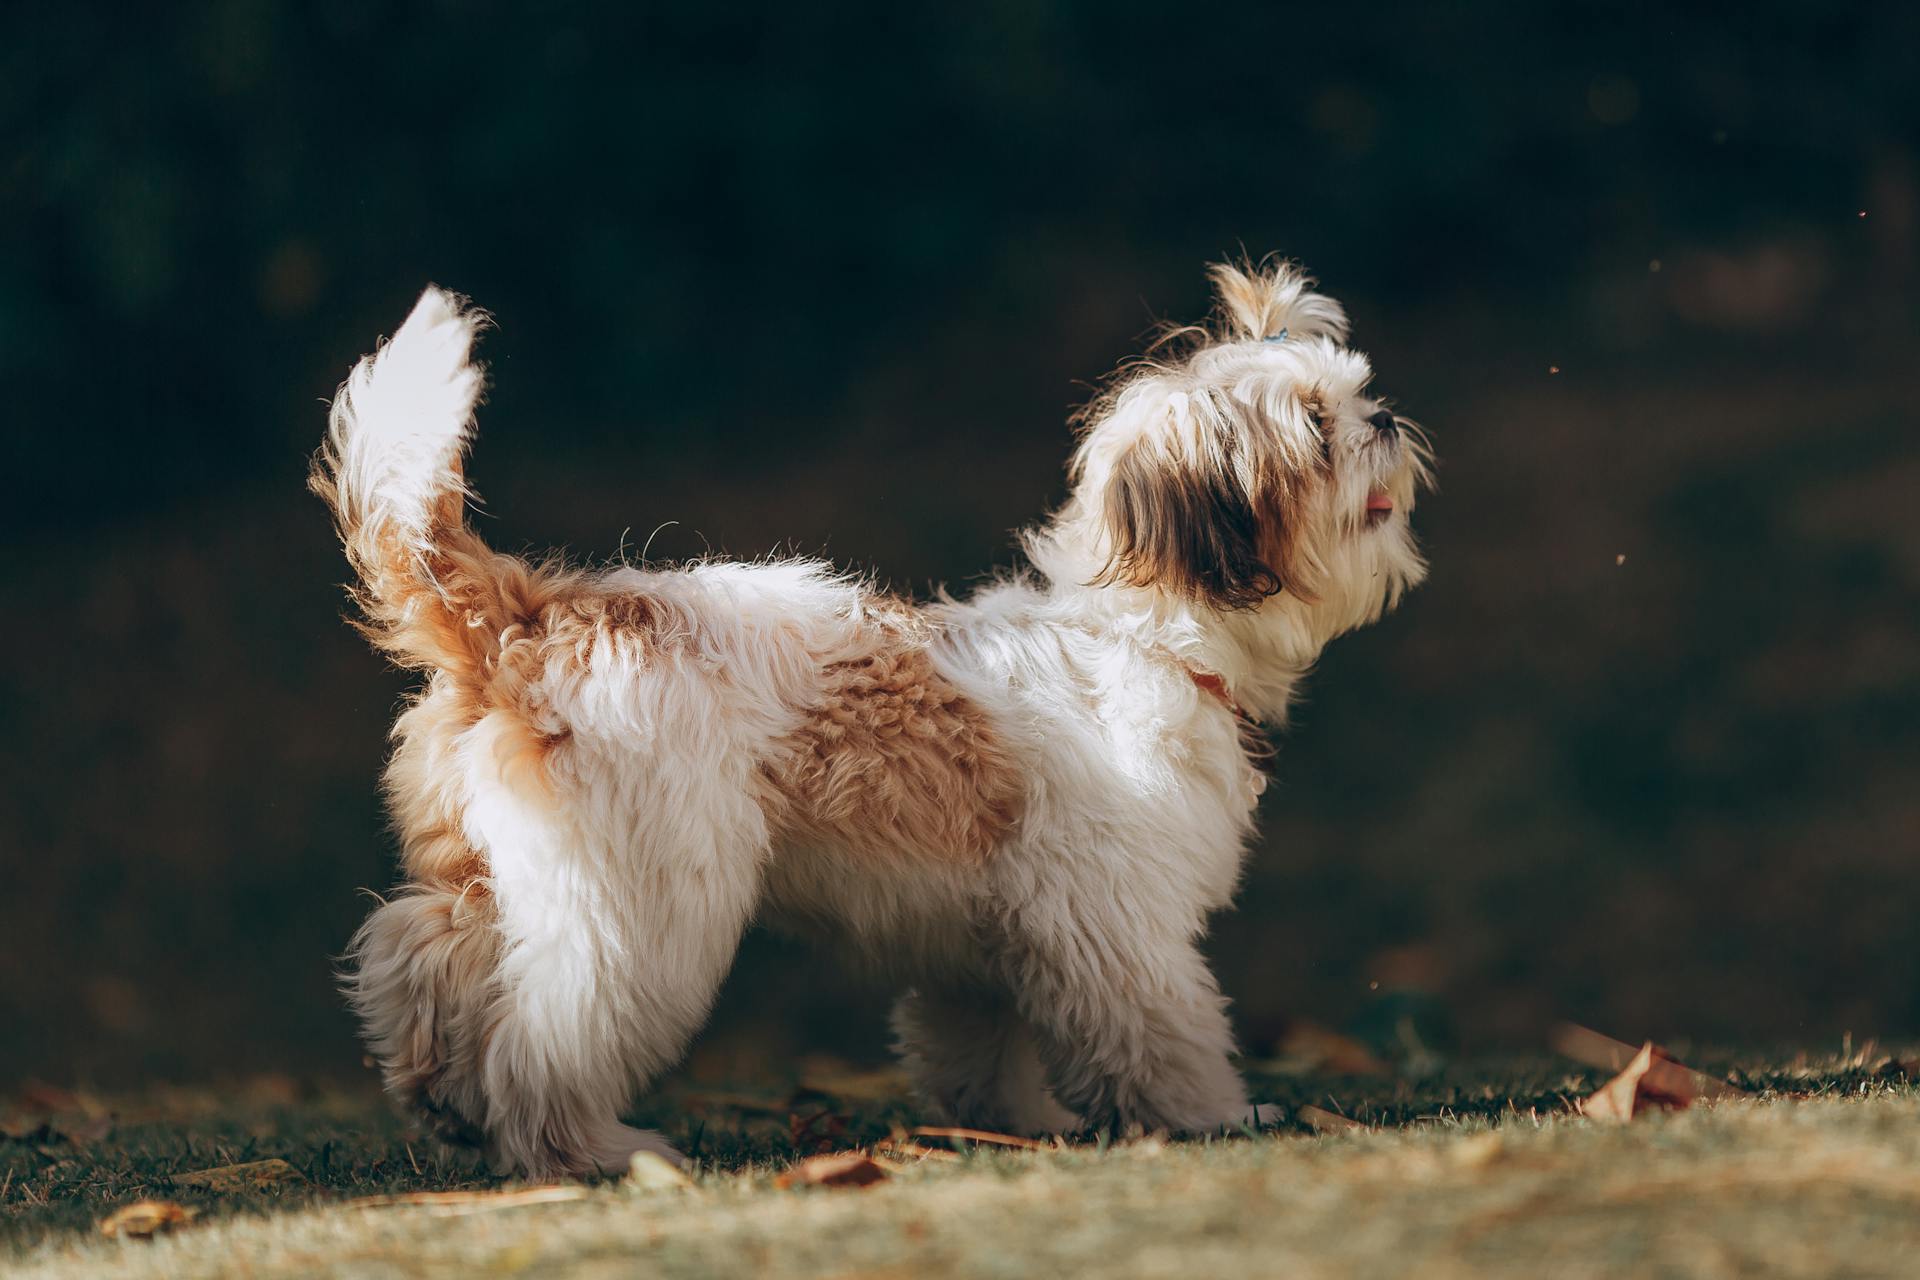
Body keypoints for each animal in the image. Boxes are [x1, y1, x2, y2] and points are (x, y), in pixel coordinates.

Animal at [314, 260, 1428, 1182]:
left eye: (1353, 393)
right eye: (1316, 428)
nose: (1381, 416)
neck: (1139, 630)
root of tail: (530, 614)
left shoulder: (990, 942)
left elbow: (978, 1046)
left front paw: (1017, 1123)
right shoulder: (1118, 921)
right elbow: (1165, 1031)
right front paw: (1214, 1114)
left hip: (489, 871)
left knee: (417, 956)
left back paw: (442, 1098)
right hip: (637, 905)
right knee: (545, 1036)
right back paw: (588, 1149)